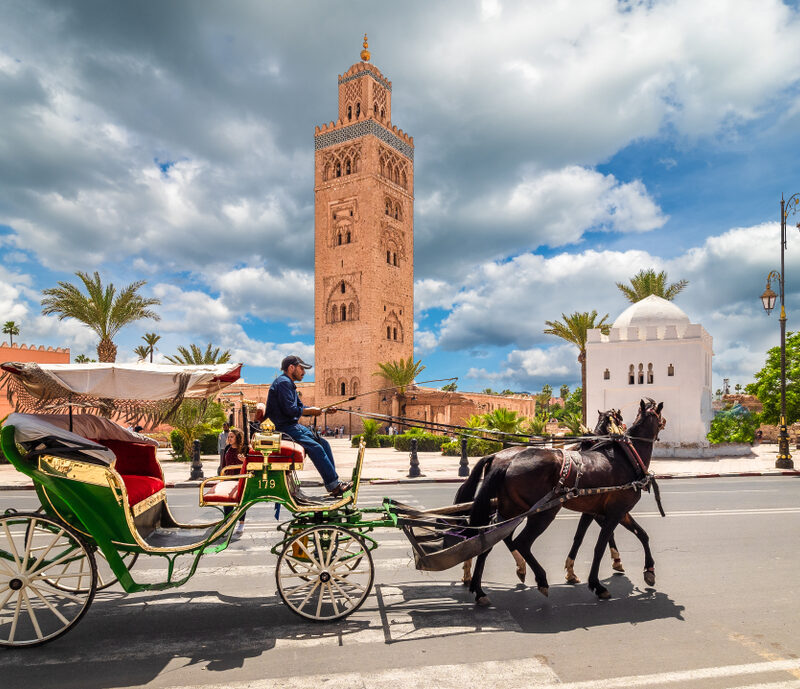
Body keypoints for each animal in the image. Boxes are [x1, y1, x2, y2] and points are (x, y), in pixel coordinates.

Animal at [462, 398, 664, 600]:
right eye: (619, 418)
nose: (664, 422)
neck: (627, 457)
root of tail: (502, 460)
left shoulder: (599, 510)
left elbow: (634, 535)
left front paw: (648, 570)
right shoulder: (616, 511)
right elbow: (601, 545)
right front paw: (599, 581)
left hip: (511, 508)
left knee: (490, 538)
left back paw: (480, 588)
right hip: (543, 512)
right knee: (521, 542)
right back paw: (539, 579)